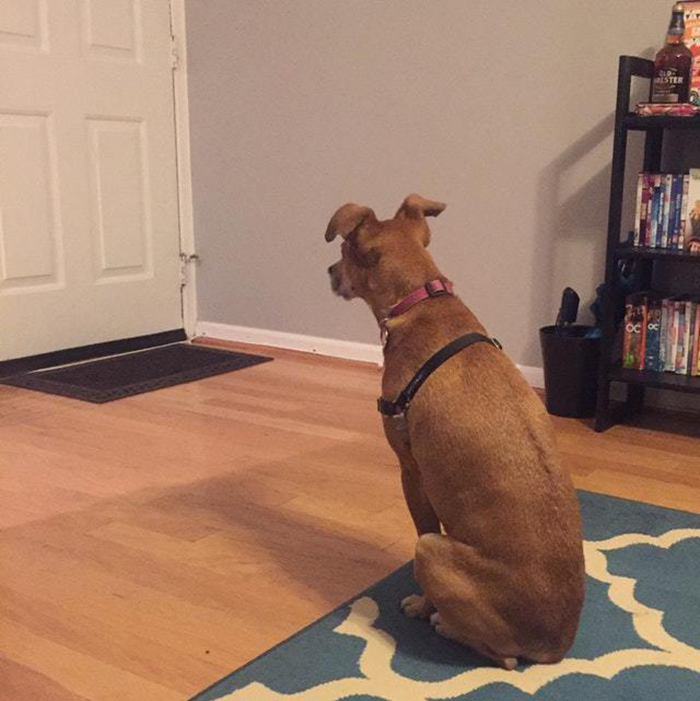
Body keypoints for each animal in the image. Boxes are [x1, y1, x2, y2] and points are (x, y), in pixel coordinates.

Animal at [326, 191, 584, 668]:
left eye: (344, 252)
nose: (329, 272)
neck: (420, 301)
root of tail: (553, 646)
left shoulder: (411, 472)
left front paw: (420, 604)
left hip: (430, 550)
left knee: (502, 657)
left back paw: (444, 623)